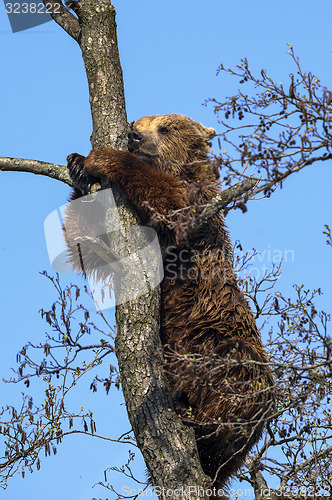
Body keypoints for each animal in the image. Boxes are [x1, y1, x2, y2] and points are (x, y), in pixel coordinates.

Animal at [65, 115, 274, 494]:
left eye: (164, 128)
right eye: (139, 121)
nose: (134, 134)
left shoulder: (195, 217)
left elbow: (170, 202)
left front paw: (104, 158)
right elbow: (86, 246)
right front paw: (77, 164)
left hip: (223, 348)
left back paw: (191, 417)